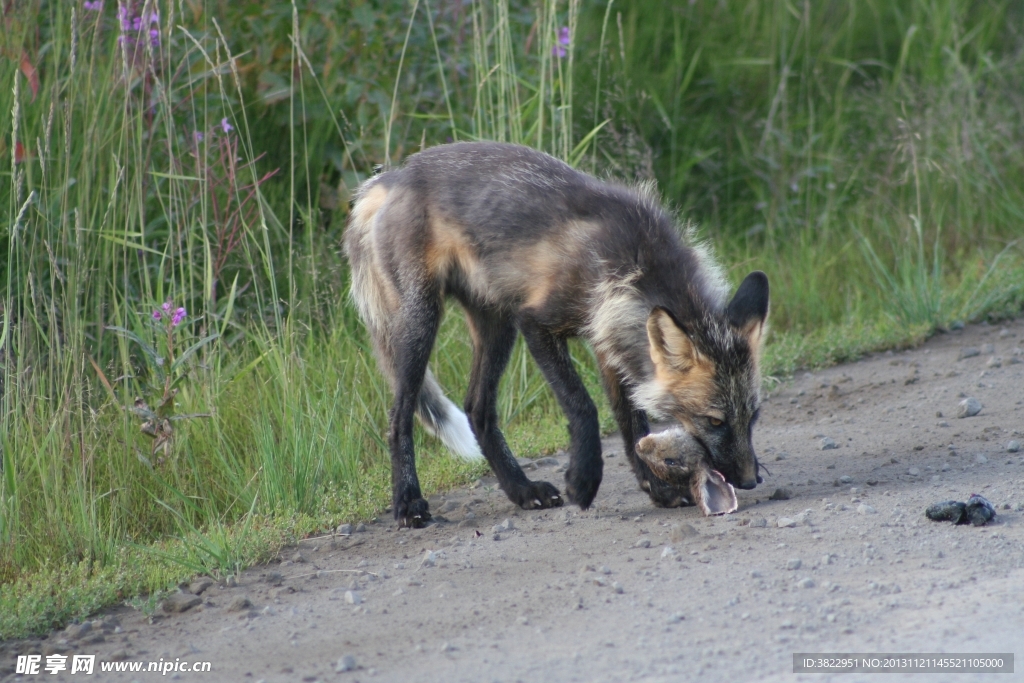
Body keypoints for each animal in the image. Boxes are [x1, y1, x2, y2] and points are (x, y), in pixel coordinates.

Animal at [344, 141, 770, 528]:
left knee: (478, 409)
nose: (751, 481)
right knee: (399, 414)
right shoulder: (536, 323)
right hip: (423, 321)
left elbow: (632, 427)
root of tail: (395, 175)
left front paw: (658, 489)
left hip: (496, 324)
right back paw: (408, 502)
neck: (631, 262)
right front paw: (584, 480)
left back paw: (522, 490)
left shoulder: (610, 342)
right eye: (714, 421)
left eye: (753, 415)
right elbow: (583, 405)